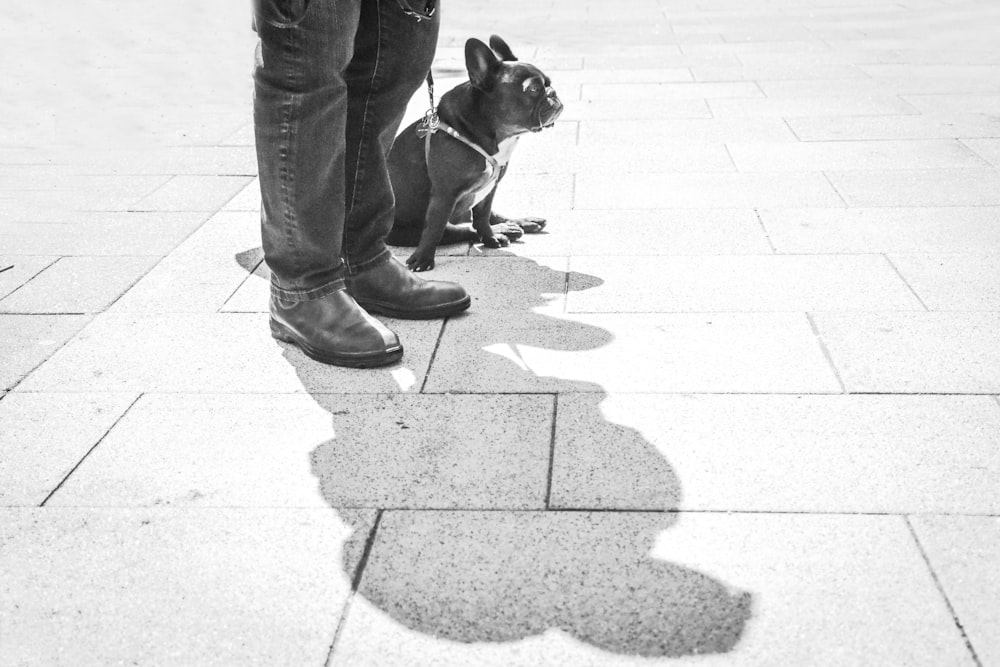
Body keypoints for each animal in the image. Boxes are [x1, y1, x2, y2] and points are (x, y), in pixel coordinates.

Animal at [386, 35, 564, 272]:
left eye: (549, 84)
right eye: (534, 89)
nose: (553, 94)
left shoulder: (491, 188)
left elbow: (483, 216)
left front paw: (491, 238)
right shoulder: (444, 195)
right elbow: (435, 229)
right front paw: (422, 259)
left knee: (480, 218)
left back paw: (522, 222)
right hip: (405, 231)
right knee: (455, 229)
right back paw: (507, 229)